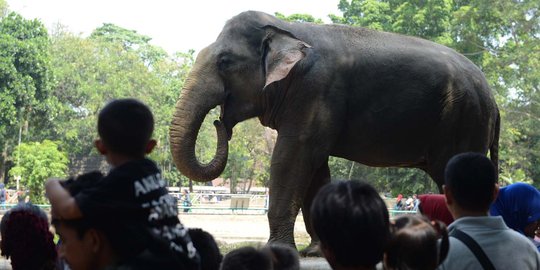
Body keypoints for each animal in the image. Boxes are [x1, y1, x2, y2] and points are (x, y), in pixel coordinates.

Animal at [170, 11, 502, 253]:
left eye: (224, 62)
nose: (220, 122)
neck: (287, 29)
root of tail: (493, 98)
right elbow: (315, 168)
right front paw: (314, 252)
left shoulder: (315, 90)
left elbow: (292, 158)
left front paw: (278, 251)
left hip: (465, 120)